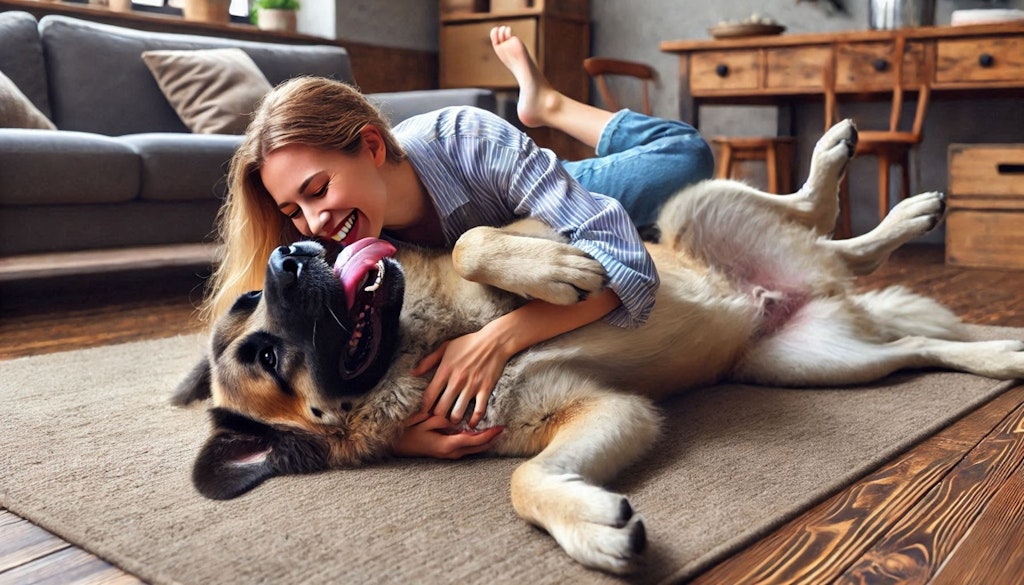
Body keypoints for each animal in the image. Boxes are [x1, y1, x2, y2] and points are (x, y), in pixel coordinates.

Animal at [174, 121, 1024, 573]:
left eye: (250, 303)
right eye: (264, 356)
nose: (290, 254)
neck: (420, 342)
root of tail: (792, 288)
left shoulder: (548, 224)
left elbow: (480, 241)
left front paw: (554, 276)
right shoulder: (613, 412)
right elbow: (526, 481)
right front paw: (593, 527)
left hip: (693, 207)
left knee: (823, 223)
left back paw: (864, 182)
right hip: (815, 363)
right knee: (914, 343)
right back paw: (999, 350)